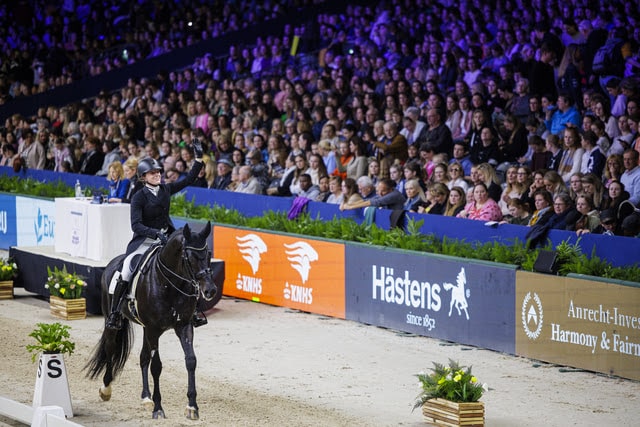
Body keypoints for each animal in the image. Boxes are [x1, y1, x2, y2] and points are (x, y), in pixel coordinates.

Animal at [85, 224, 216, 422]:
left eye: (208, 254)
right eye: (189, 257)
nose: (210, 290)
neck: (169, 283)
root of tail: (111, 264)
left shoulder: (183, 326)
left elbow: (191, 360)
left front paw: (192, 407)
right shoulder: (154, 329)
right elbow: (157, 366)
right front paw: (158, 408)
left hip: (146, 329)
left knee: (143, 357)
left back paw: (146, 397)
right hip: (114, 321)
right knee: (110, 348)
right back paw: (106, 389)